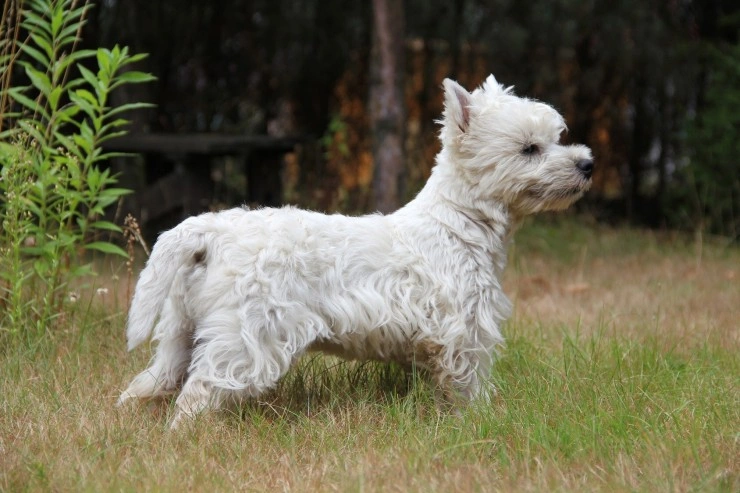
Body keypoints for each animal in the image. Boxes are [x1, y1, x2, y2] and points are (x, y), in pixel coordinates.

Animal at [121, 74, 596, 426]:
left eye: (558, 138)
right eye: (529, 149)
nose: (587, 164)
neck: (459, 224)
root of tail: (212, 230)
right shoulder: (464, 331)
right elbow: (467, 383)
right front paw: (477, 420)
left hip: (181, 328)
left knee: (152, 382)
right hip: (244, 338)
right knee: (198, 391)